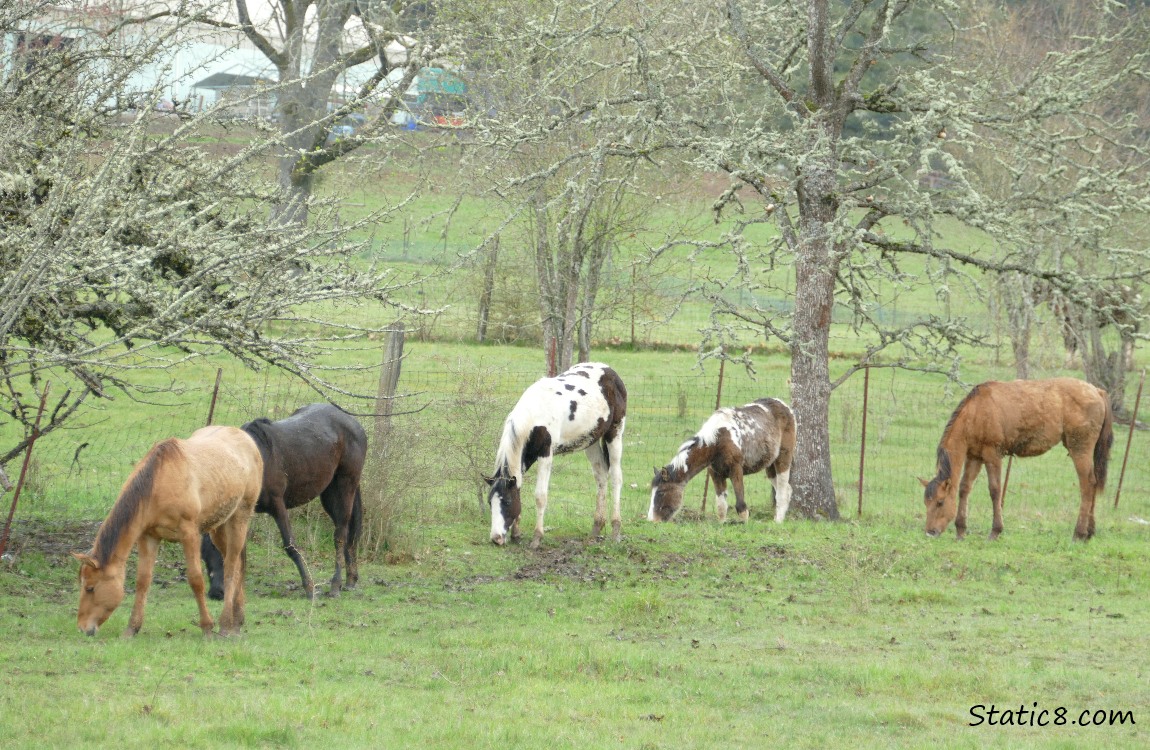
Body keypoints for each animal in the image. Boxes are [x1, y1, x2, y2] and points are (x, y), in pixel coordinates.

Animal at [73, 425, 262, 634]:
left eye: (90, 588)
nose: (82, 627)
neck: (158, 484)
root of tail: (246, 438)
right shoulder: (148, 537)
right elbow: (142, 581)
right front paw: (132, 629)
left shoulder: (190, 535)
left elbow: (196, 580)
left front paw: (207, 627)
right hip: (218, 527)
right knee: (237, 564)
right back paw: (238, 619)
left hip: (240, 517)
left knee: (230, 567)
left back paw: (227, 624)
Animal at [204, 400, 365, 602]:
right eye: (205, 551)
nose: (216, 593)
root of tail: (352, 422)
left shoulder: (277, 506)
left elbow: (290, 545)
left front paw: (309, 588)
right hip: (329, 494)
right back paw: (351, 578)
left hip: (345, 486)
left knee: (340, 535)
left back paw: (335, 584)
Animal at [485, 361, 630, 547]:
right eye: (490, 501)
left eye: (507, 502)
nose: (496, 538)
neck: (535, 413)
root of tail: (609, 370)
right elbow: (519, 487)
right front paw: (516, 534)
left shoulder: (546, 453)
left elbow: (540, 496)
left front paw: (537, 538)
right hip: (591, 441)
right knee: (601, 477)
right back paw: (596, 528)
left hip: (615, 433)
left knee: (616, 478)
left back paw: (615, 530)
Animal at [648, 398, 800, 522]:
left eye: (661, 492)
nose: (652, 520)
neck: (718, 441)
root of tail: (786, 408)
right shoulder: (716, 474)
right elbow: (721, 505)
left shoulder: (736, 470)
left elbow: (741, 505)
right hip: (769, 466)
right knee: (786, 489)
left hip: (783, 459)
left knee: (781, 491)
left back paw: (777, 522)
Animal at [915, 377, 1113, 542]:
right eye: (926, 502)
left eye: (940, 502)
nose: (930, 532)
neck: (976, 413)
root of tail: (1097, 391)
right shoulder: (974, 457)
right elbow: (964, 488)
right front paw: (961, 530)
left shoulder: (993, 455)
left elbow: (995, 490)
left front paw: (995, 531)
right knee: (1093, 484)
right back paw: (1089, 532)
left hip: (1080, 449)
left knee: (1087, 485)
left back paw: (1079, 533)